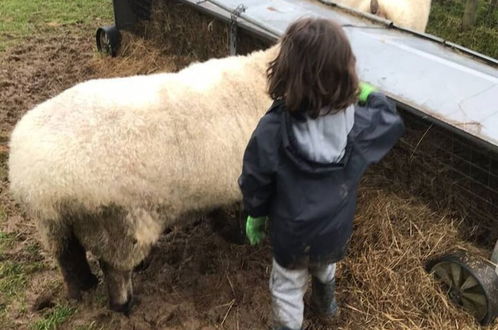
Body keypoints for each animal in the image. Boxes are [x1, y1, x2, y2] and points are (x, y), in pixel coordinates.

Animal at [7, 45, 276, 314]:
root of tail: (30, 179)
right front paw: (242, 237)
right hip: (117, 224)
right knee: (113, 269)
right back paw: (124, 304)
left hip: (55, 226)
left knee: (69, 259)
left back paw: (83, 289)